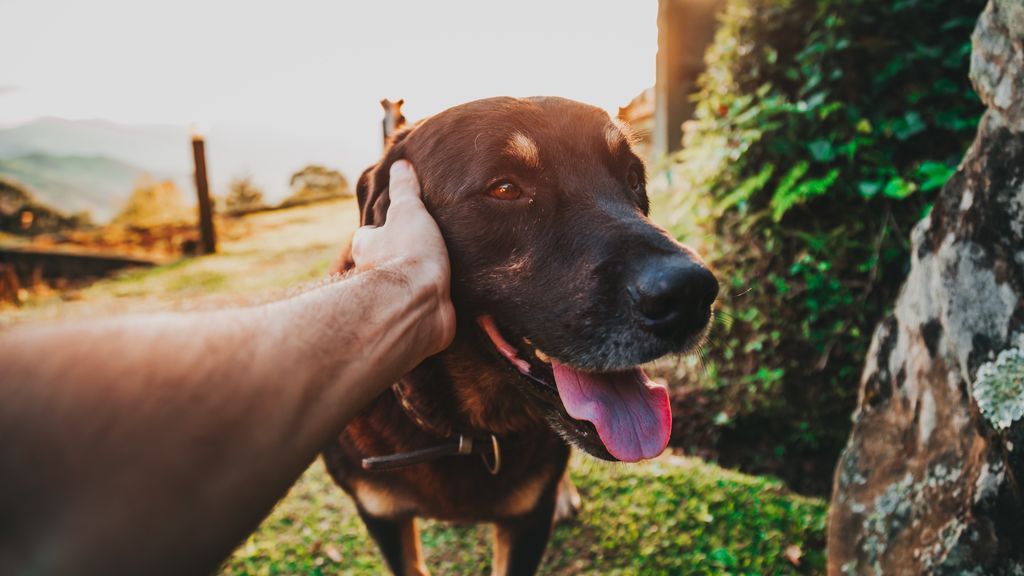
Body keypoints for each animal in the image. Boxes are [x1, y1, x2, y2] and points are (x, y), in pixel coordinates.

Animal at [323, 97, 716, 573]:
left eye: (632, 178)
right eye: (505, 189)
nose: (692, 295)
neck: (463, 432)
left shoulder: (528, 520)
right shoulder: (381, 514)